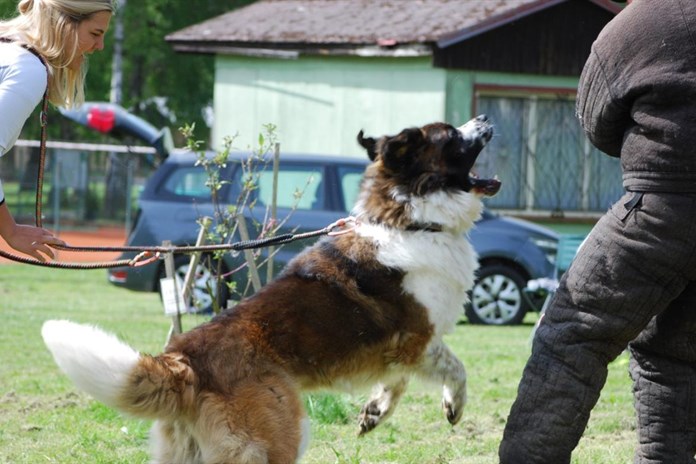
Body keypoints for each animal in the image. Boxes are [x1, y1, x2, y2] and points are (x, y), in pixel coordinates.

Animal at [42, 114, 500, 462]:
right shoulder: (417, 339)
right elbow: (456, 369)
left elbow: (397, 381)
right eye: (451, 136)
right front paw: (453, 405)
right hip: (278, 434)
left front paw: (374, 411)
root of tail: (184, 359)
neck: (409, 220)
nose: (484, 117)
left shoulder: (399, 351)